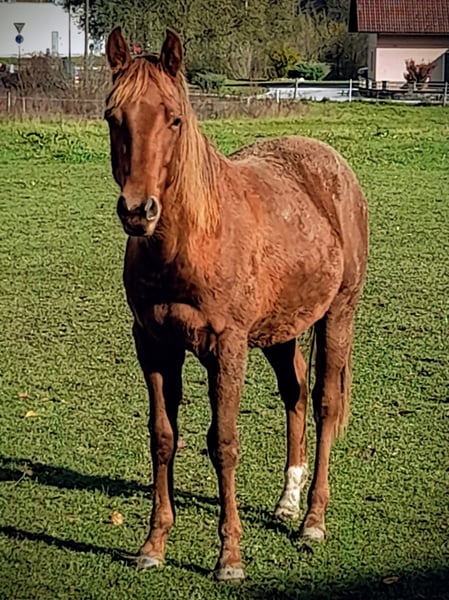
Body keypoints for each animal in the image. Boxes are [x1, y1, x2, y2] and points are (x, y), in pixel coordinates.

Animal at [105, 27, 368, 581]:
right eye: (114, 117)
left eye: (175, 118)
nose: (139, 211)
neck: (189, 242)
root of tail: (330, 163)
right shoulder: (154, 344)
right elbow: (163, 437)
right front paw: (153, 544)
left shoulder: (227, 347)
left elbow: (223, 443)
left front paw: (229, 557)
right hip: (279, 331)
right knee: (295, 395)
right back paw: (288, 501)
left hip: (338, 314)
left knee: (324, 404)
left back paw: (312, 520)